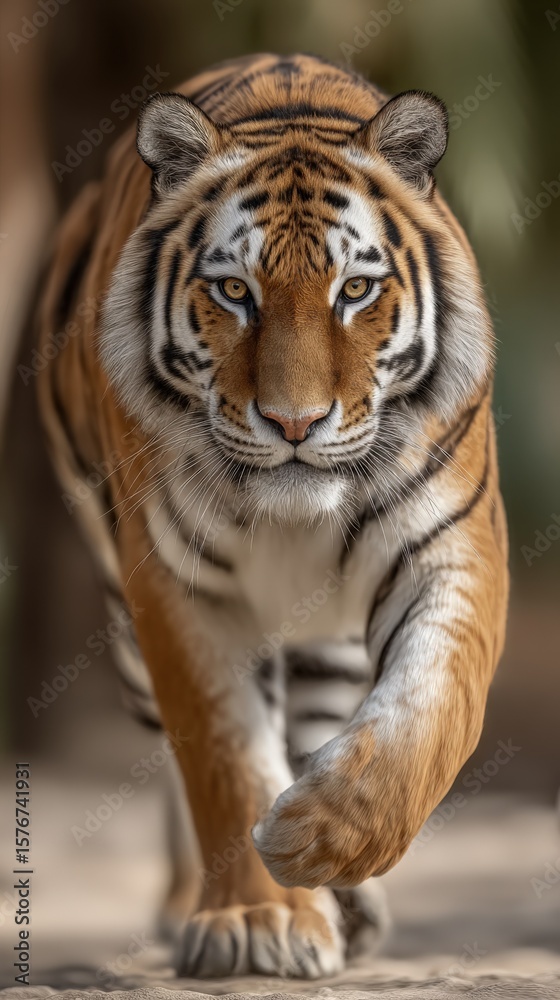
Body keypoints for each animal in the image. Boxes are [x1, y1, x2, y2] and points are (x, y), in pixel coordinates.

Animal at [37, 52, 509, 979]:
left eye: (355, 290)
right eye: (233, 291)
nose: (295, 423)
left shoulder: (452, 549)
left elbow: (429, 714)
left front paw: (312, 839)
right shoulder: (176, 584)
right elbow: (220, 751)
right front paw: (261, 920)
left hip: (328, 643)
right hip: (126, 634)